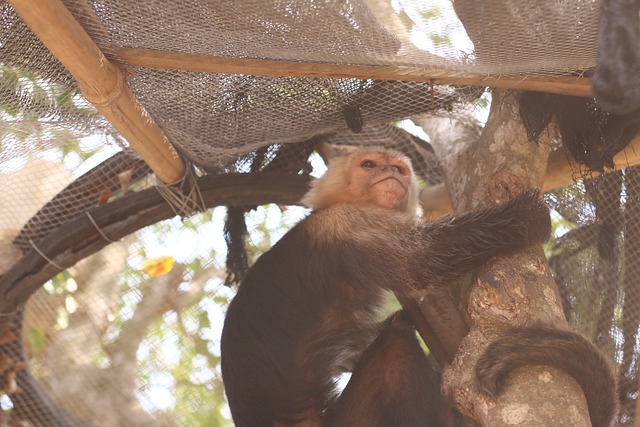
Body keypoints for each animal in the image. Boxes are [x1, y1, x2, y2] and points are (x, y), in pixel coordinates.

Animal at [219, 148, 616, 427]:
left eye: (399, 168)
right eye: (369, 164)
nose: (391, 172)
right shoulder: (350, 222)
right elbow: (421, 262)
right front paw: (525, 218)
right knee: (395, 349)